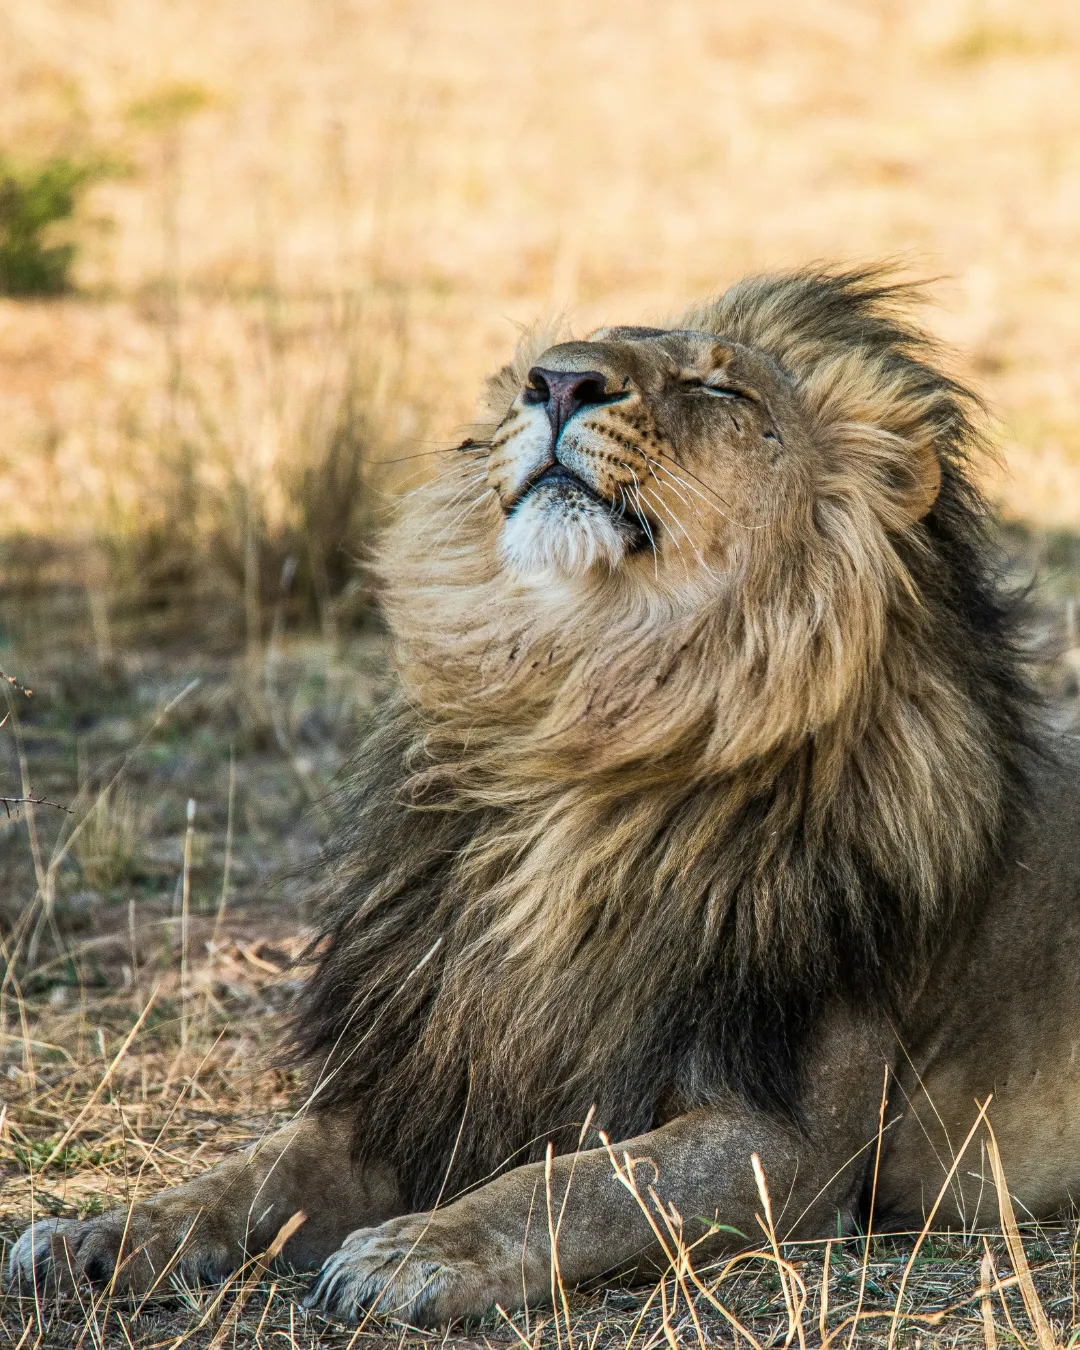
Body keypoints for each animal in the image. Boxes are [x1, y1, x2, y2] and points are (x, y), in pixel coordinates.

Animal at [10, 267, 1080, 1327]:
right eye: (549, 363)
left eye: (721, 389)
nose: (559, 382)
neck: (584, 725)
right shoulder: (424, 1074)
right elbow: (245, 1175)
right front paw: (95, 1235)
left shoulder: (794, 1143)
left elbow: (577, 1185)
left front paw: (416, 1251)